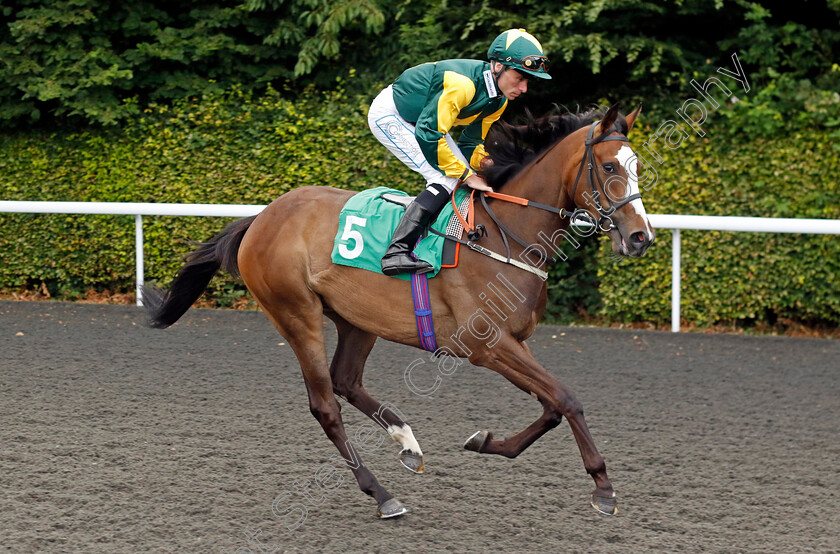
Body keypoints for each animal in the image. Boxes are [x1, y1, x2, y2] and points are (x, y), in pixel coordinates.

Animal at [144, 102, 656, 516]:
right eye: (609, 165)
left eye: (636, 166)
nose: (640, 237)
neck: (504, 234)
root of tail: (261, 217)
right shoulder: (487, 345)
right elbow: (567, 398)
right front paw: (603, 487)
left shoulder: (514, 343)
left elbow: (551, 406)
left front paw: (486, 442)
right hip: (295, 313)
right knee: (325, 404)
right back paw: (382, 493)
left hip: (357, 319)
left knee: (346, 380)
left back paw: (406, 442)